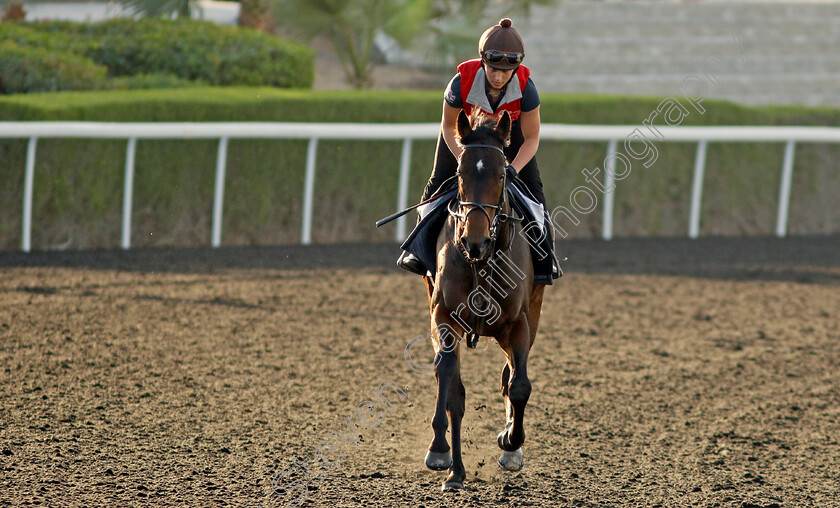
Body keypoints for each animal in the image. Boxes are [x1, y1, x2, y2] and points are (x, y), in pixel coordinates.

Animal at [424, 109, 548, 490]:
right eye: (460, 174)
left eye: (503, 173)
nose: (474, 241)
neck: (482, 260)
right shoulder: (443, 314)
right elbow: (449, 381)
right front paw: (441, 452)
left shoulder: (519, 324)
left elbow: (519, 385)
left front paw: (510, 441)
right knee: (453, 385)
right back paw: (455, 467)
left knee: (510, 376)